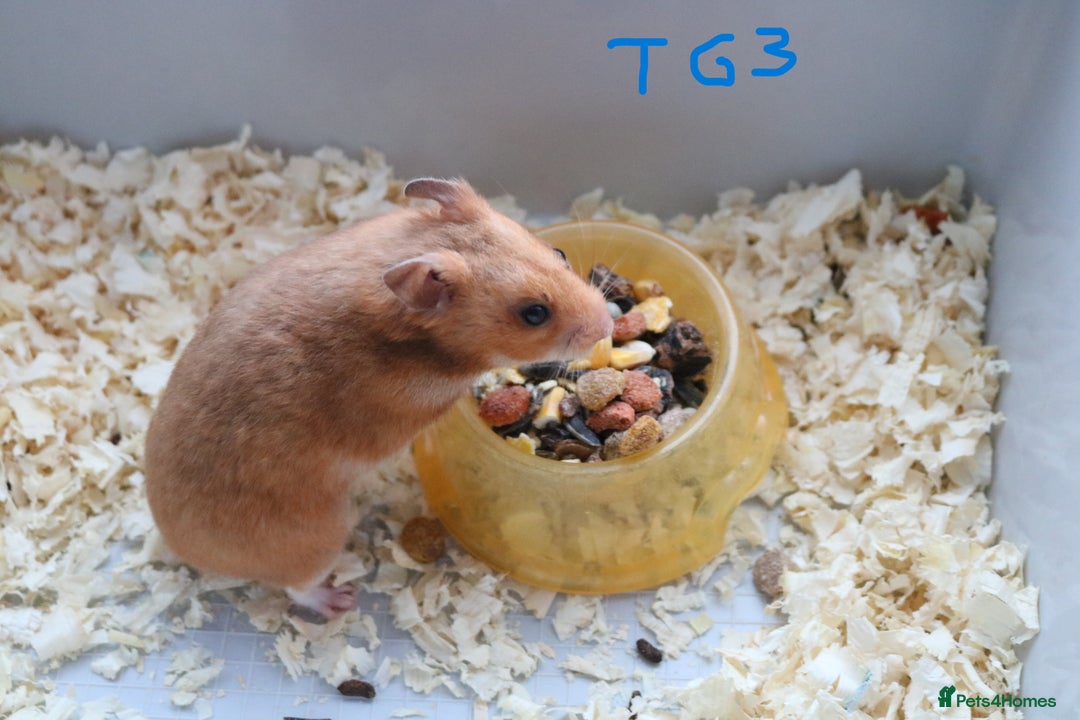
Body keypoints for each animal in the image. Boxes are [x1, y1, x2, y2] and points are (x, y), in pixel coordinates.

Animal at [144, 178, 613, 618]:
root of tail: (179, 547)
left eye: (559, 253)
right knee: (297, 587)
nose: (607, 326)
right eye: (534, 313)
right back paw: (339, 600)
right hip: (316, 538)